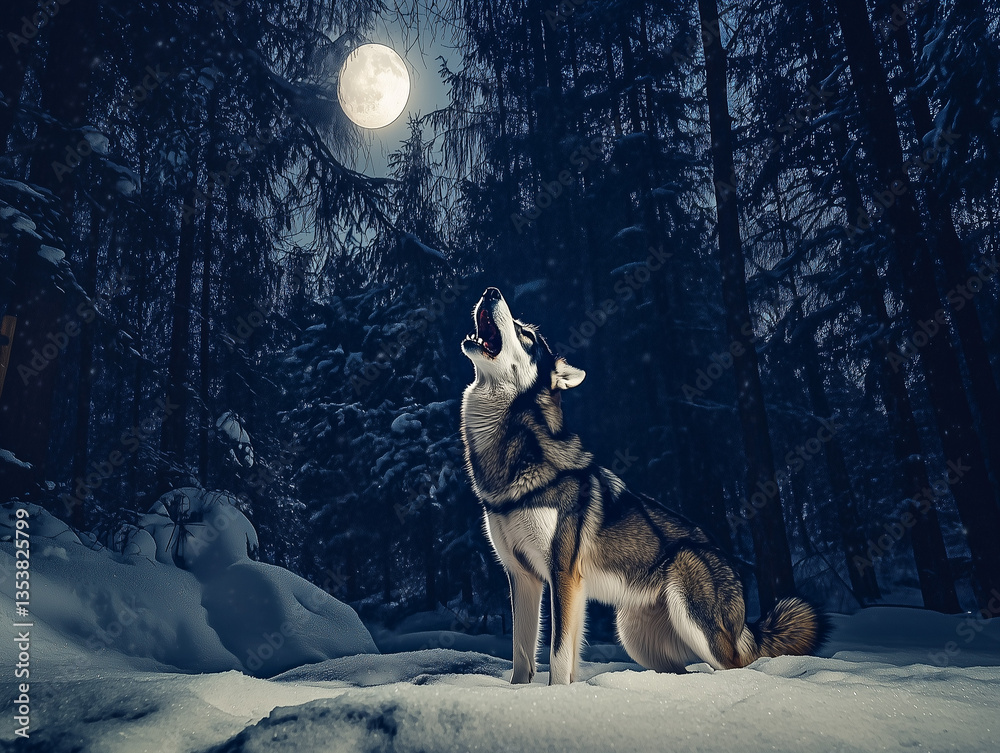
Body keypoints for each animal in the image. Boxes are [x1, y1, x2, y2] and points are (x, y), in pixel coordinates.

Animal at [460, 287, 827, 685]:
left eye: (525, 333)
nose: (491, 291)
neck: (514, 454)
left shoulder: (562, 575)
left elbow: (557, 655)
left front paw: (557, 693)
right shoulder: (523, 577)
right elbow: (522, 656)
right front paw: (521, 694)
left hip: (695, 622)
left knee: (736, 667)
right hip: (634, 635)